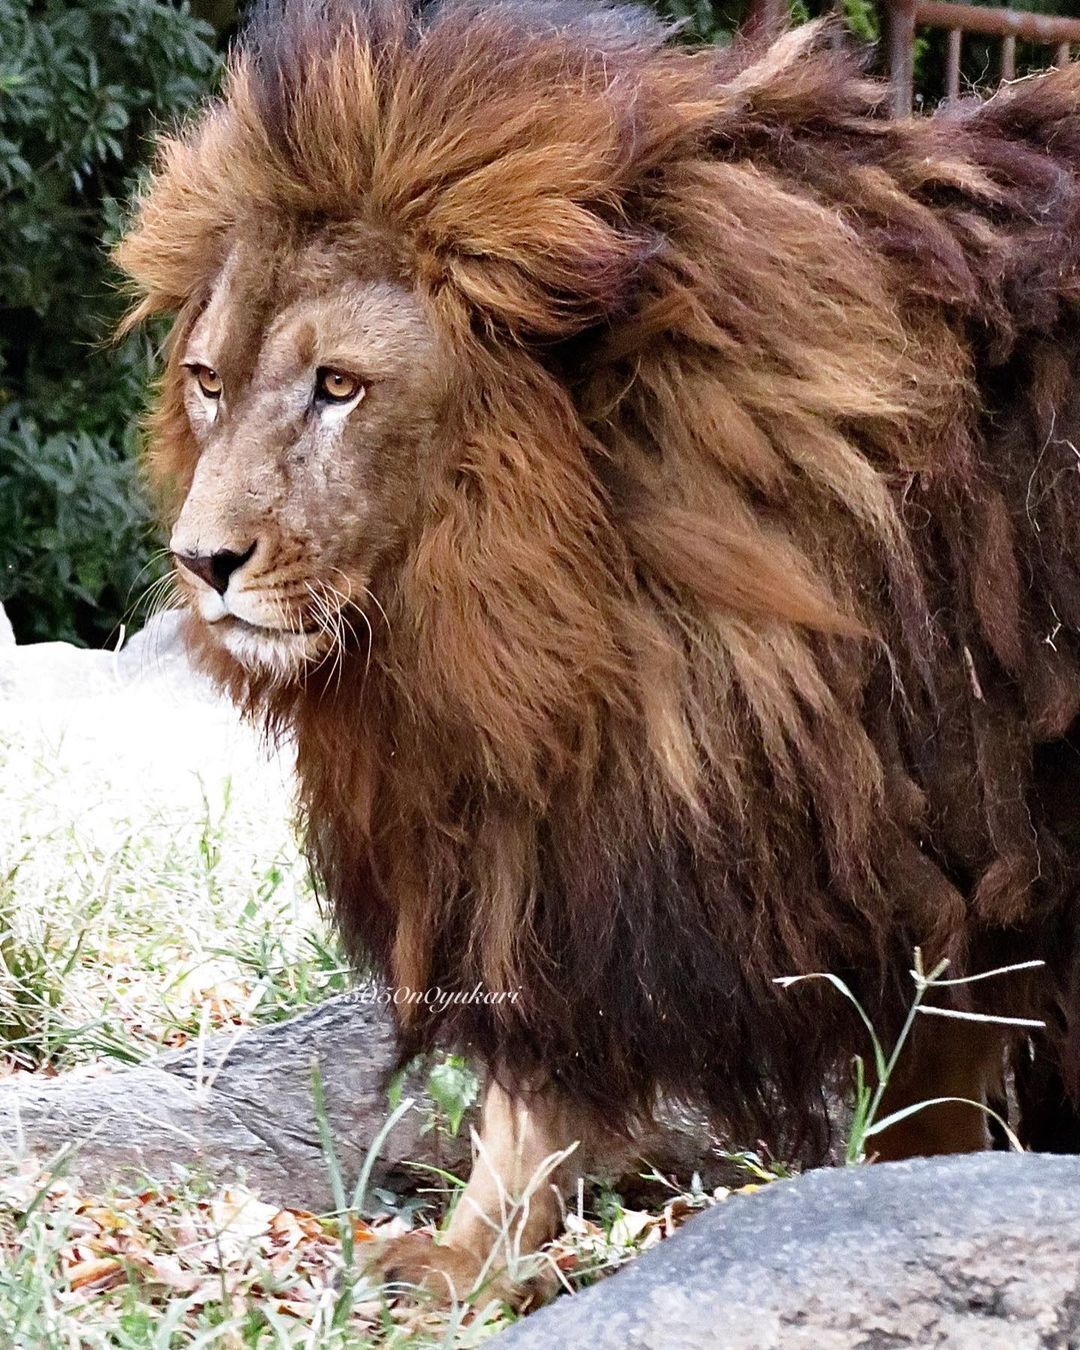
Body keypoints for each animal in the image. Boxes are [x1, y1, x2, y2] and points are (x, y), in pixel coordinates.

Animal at [116, 0, 1080, 1306]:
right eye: (210, 383)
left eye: (340, 387)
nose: (201, 561)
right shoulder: (594, 812)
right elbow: (534, 1100)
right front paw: (465, 1264)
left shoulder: (962, 842)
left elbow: (923, 1097)